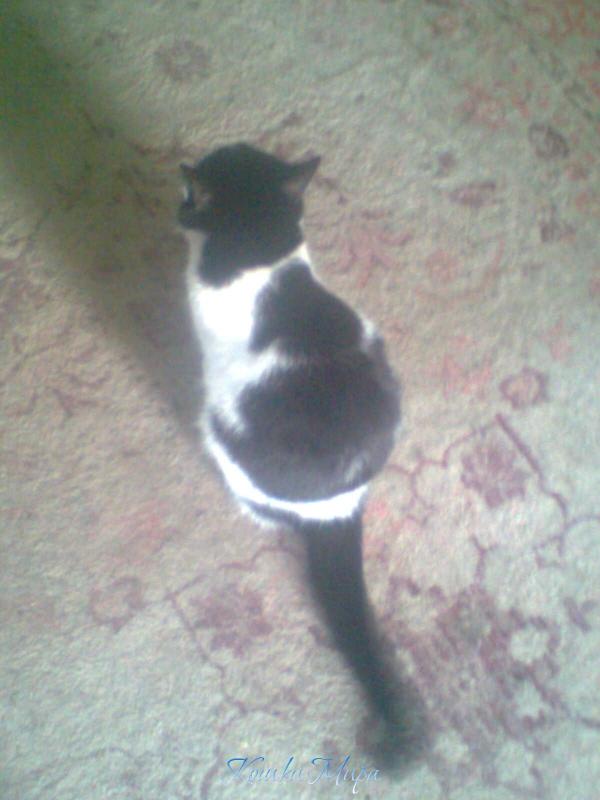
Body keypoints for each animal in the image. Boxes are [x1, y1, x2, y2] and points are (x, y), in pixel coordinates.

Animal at [178, 143, 422, 765]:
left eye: (188, 197)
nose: (177, 201)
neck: (264, 258)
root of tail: (339, 508)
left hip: (219, 430)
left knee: (259, 507)